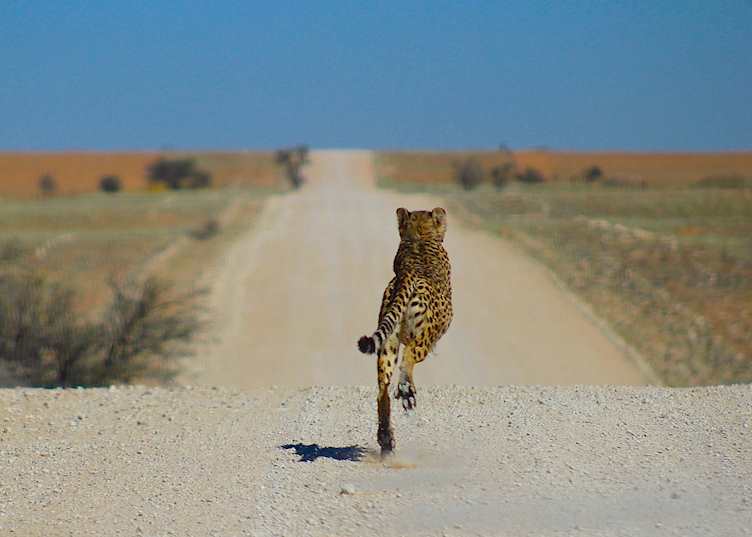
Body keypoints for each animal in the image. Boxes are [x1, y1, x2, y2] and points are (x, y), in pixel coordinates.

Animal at [357, 207, 453, 456]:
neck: (418, 237)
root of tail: (407, 277)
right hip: (424, 338)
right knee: (408, 359)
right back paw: (407, 391)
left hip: (387, 343)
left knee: (382, 390)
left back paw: (386, 438)